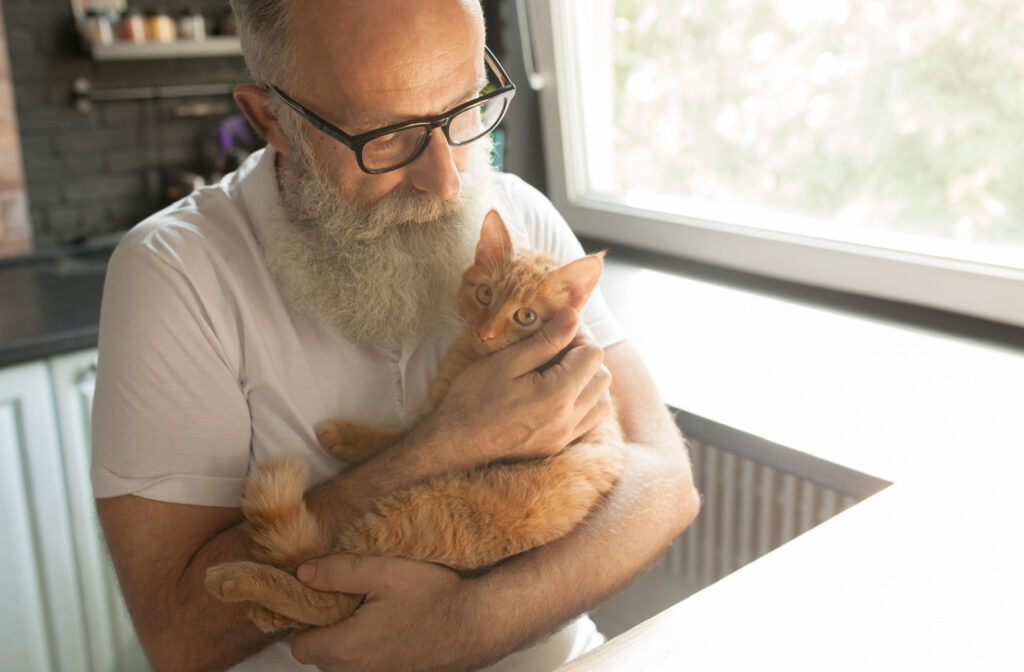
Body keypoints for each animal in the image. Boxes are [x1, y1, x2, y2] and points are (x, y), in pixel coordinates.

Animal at [204, 210, 626, 631]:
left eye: (526, 315)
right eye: (485, 294)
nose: (485, 331)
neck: (473, 358)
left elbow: (392, 436)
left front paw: (344, 435)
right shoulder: (434, 411)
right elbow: (401, 434)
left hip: (409, 513)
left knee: (330, 598)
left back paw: (237, 581)